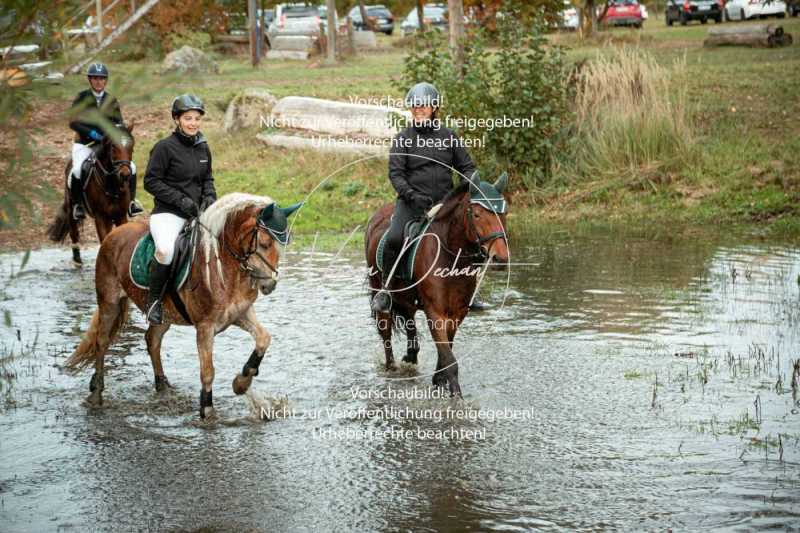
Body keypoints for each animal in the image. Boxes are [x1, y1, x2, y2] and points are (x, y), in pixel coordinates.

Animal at [47, 123, 136, 266]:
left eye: (131, 146)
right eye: (113, 147)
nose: (125, 175)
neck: (111, 184)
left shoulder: (120, 215)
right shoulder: (100, 217)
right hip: (72, 208)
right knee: (74, 232)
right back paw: (77, 259)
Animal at [63, 193, 304, 418]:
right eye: (264, 243)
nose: (269, 285)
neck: (225, 265)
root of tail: (113, 234)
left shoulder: (241, 313)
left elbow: (264, 339)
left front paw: (241, 382)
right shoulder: (205, 327)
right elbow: (207, 371)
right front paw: (207, 410)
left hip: (164, 315)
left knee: (152, 340)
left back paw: (162, 386)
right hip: (110, 302)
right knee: (102, 342)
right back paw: (96, 393)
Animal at [366, 170, 510, 394]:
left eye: (504, 214)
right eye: (477, 214)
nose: (500, 258)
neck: (450, 257)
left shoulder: (457, 313)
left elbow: (445, 352)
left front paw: (439, 380)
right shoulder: (435, 312)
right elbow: (450, 361)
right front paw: (455, 396)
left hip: (407, 299)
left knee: (410, 327)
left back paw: (410, 356)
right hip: (378, 291)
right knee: (386, 332)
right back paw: (391, 368)